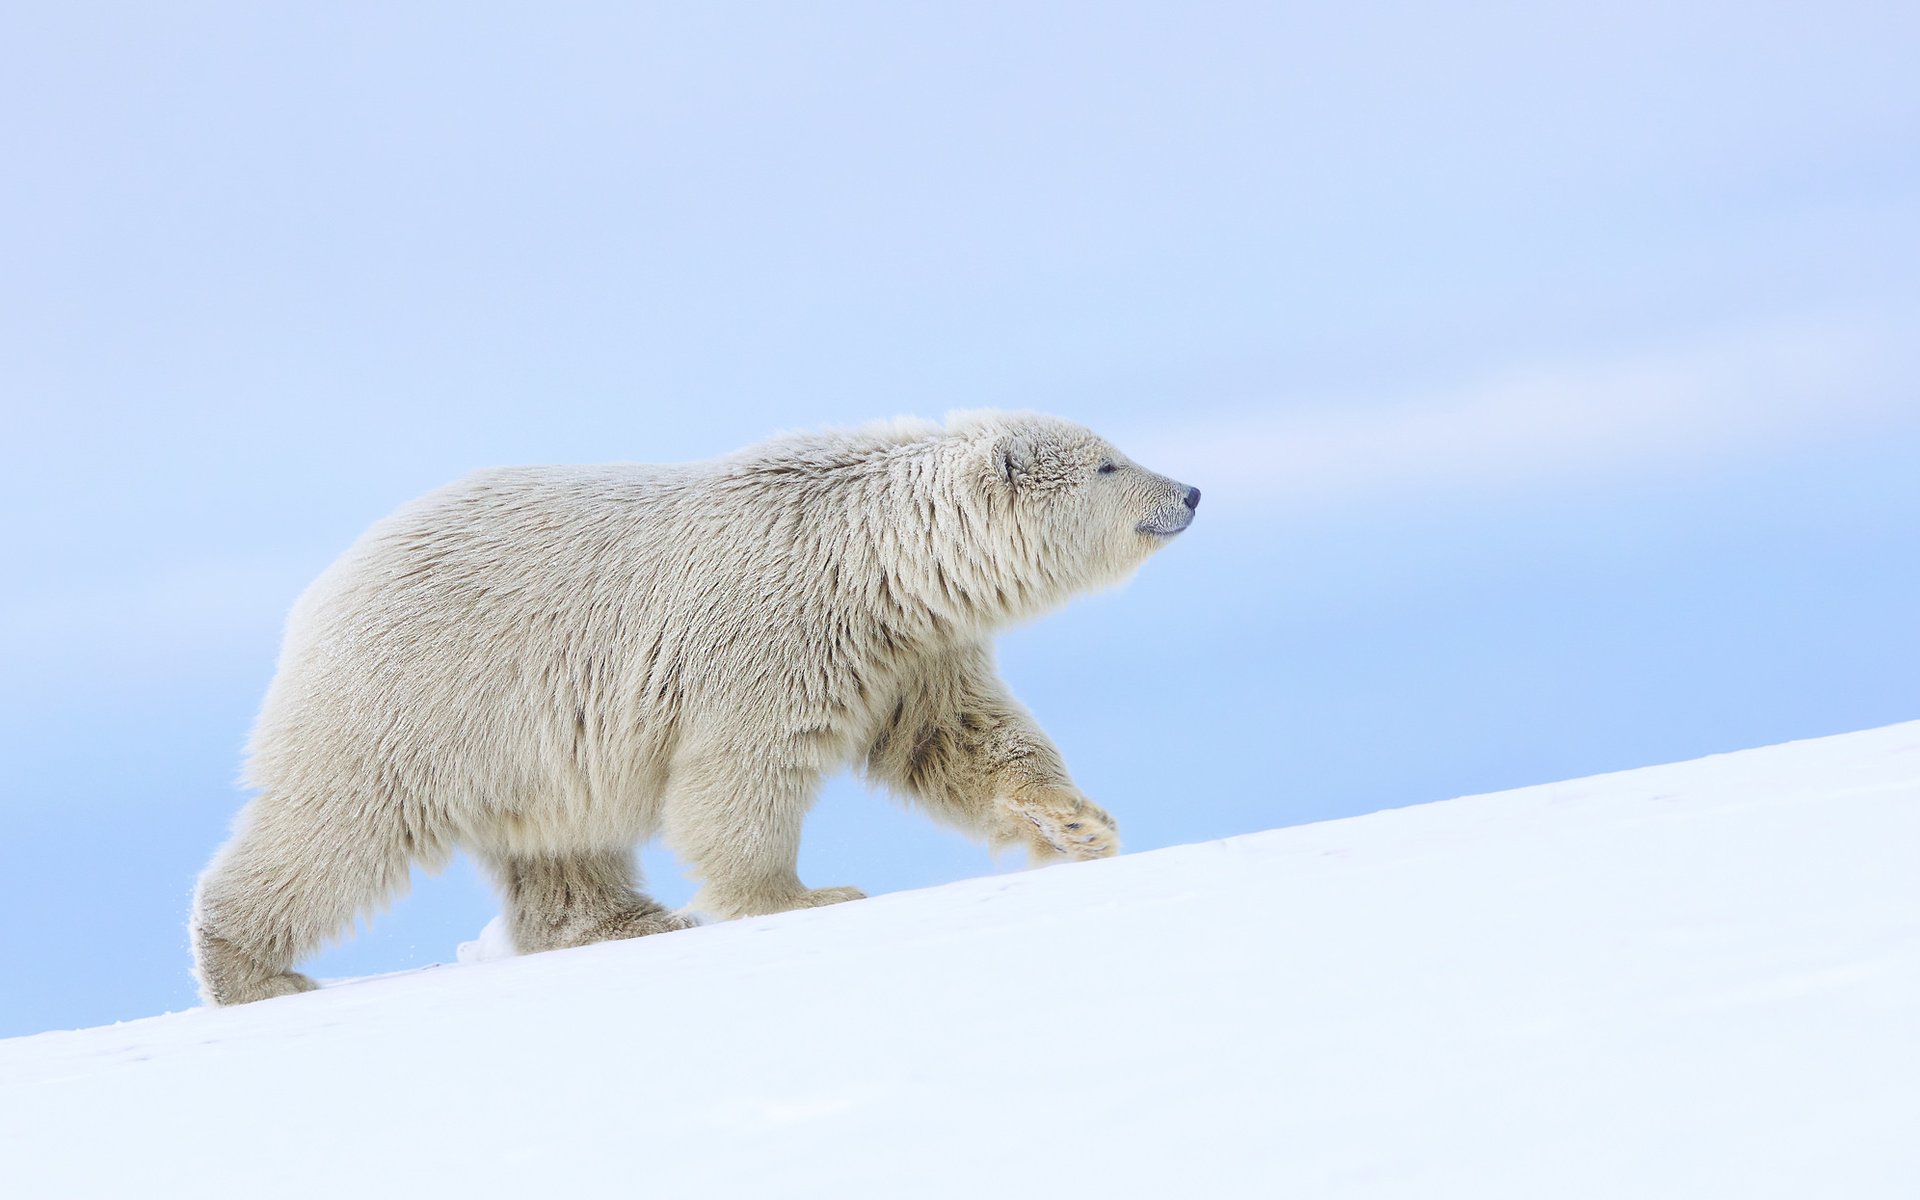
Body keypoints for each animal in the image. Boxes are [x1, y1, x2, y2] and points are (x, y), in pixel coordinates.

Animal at [187, 408, 1190, 998]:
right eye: (1108, 465)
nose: (1189, 490)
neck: (873, 560)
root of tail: (322, 589)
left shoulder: (912, 652)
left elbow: (964, 740)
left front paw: (1080, 827)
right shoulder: (770, 633)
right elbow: (740, 772)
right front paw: (803, 895)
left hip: (529, 739)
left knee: (560, 842)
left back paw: (628, 920)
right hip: (422, 693)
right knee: (336, 827)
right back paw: (251, 971)